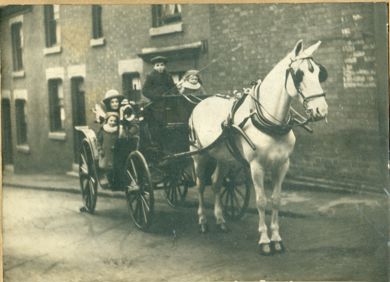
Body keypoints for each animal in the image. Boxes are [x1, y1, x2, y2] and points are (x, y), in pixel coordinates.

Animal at [189, 40, 330, 256]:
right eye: (299, 74)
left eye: (320, 73)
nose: (321, 110)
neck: (271, 122)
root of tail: (201, 102)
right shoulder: (256, 167)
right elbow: (262, 201)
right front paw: (265, 240)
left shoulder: (282, 165)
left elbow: (276, 199)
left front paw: (277, 239)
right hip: (199, 155)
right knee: (200, 185)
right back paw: (203, 221)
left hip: (223, 157)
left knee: (216, 183)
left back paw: (221, 220)